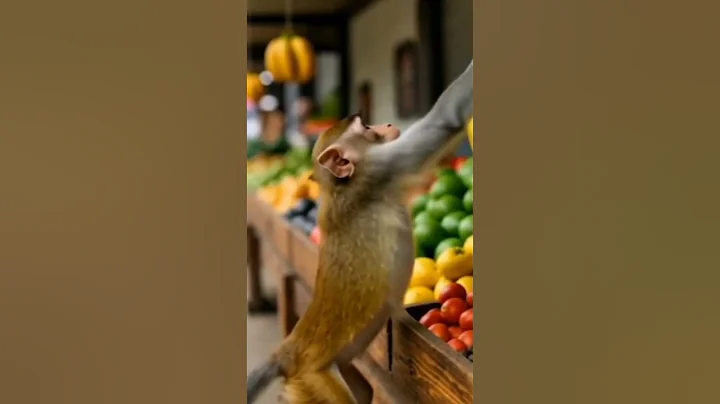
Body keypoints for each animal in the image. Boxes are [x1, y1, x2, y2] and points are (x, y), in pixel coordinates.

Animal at [247, 60, 474, 404]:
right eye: (366, 128)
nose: (388, 123)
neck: (339, 185)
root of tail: (287, 353)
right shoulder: (382, 165)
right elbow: (445, 119)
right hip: (312, 380)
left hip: (339, 368)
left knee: (363, 388)